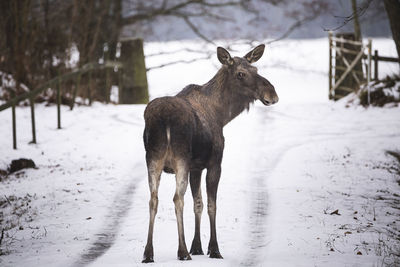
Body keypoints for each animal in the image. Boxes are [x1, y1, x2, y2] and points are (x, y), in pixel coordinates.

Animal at [143, 44, 278, 264]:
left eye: (256, 69)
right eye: (240, 74)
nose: (272, 94)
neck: (223, 114)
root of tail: (164, 118)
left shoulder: (196, 167)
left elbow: (198, 203)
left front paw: (197, 246)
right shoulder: (215, 163)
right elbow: (212, 205)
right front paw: (213, 249)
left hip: (153, 159)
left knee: (153, 199)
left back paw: (148, 253)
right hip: (180, 159)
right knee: (177, 199)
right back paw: (182, 252)